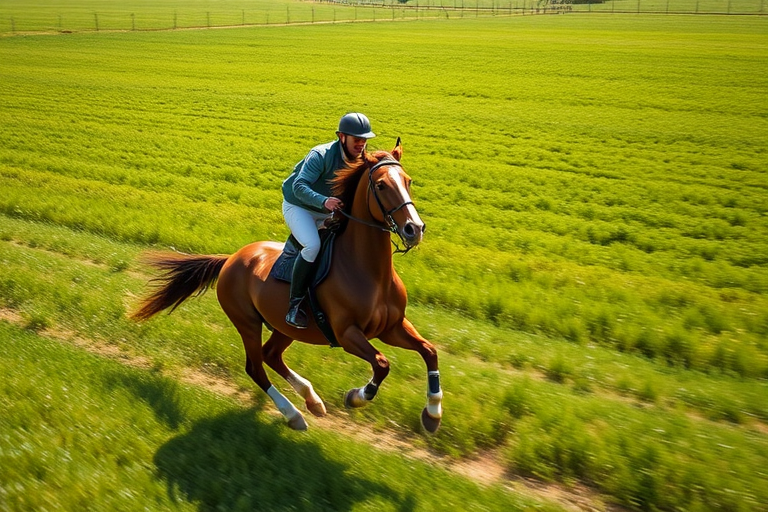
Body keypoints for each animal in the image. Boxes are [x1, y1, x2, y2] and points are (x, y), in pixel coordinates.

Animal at [130, 141, 443, 433]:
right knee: (255, 367)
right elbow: (381, 363)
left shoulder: (392, 327)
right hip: (247, 322)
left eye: (408, 181)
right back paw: (294, 415)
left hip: (285, 326)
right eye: (381, 185)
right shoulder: (347, 334)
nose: (414, 229)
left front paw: (432, 414)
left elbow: (429, 351)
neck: (370, 272)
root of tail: (230, 259)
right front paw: (356, 396)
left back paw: (312, 400)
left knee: (271, 355)